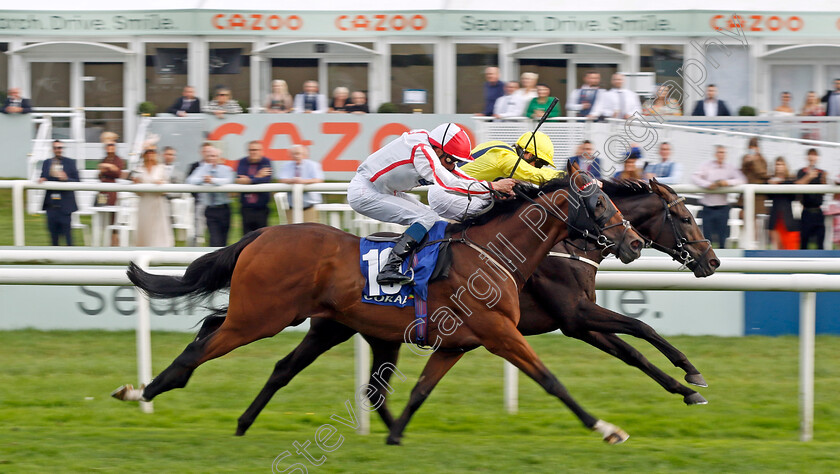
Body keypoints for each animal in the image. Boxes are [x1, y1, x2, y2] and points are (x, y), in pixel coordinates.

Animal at [115, 177, 644, 444]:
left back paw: (243, 421)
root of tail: (262, 233)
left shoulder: (457, 343)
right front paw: (607, 428)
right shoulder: (499, 334)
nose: (635, 242)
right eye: (600, 203)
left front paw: (397, 437)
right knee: (201, 348)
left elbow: (420, 390)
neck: (491, 252)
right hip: (260, 318)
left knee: (271, 359)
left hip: (329, 326)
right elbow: (552, 380)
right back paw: (141, 391)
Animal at [233, 180, 720, 438]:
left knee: (309, 373)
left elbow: (633, 351)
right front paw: (692, 375)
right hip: (329, 326)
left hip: (349, 330)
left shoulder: (577, 322)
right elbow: (641, 328)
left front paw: (686, 389)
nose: (713, 261)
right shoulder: (575, 315)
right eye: (685, 217)